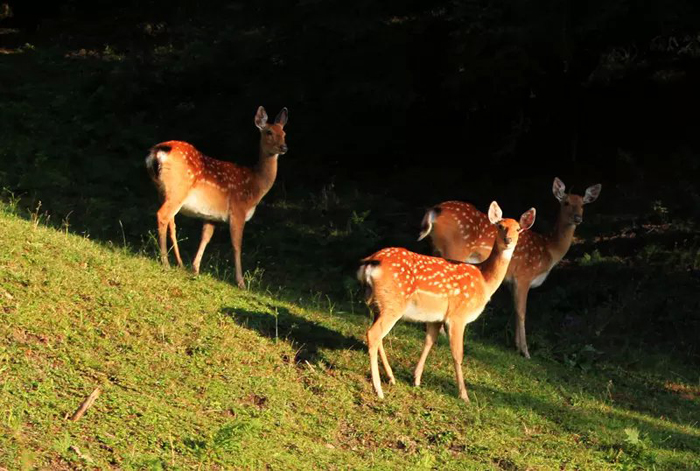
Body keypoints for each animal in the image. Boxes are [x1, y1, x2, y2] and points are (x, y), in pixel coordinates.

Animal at [145, 106, 288, 289]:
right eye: (269, 132)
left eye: (284, 133)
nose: (284, 147)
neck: (255, 186)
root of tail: (158, 152)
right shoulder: (238, 210)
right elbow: (237, 245)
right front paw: (241, 282)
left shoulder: (211, 216)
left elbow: (206, 237)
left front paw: (195, 269)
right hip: (178, 189)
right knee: (162, 215)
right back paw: (166, 262)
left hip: (164, 191)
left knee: (171, 221)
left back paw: (180, 263)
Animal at [357, 202, 535, 402]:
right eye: (500, 226)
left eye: (518, 229)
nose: (509, 239)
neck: (484, 280)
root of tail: (370, 263)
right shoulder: (458, 315)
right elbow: (458, 354)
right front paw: (464, 395)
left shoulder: (435, 317)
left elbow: (429, 341)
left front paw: (416, 379)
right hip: (392, 305)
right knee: (373, 334)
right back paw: (378, 389)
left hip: (377, 304)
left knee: (377, 335)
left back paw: (391, 377)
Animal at [417, 177, 601, 358]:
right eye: (566, 203)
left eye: (583, 205)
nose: (578, 218)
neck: (548, 251)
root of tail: (434, 211)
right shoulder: (524, 275)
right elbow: (522, 312)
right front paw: (525, 351)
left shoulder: (511, 282)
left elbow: (514, 310)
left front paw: (516, 345)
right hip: (455, 250)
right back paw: (442, 332)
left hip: (436, 249)